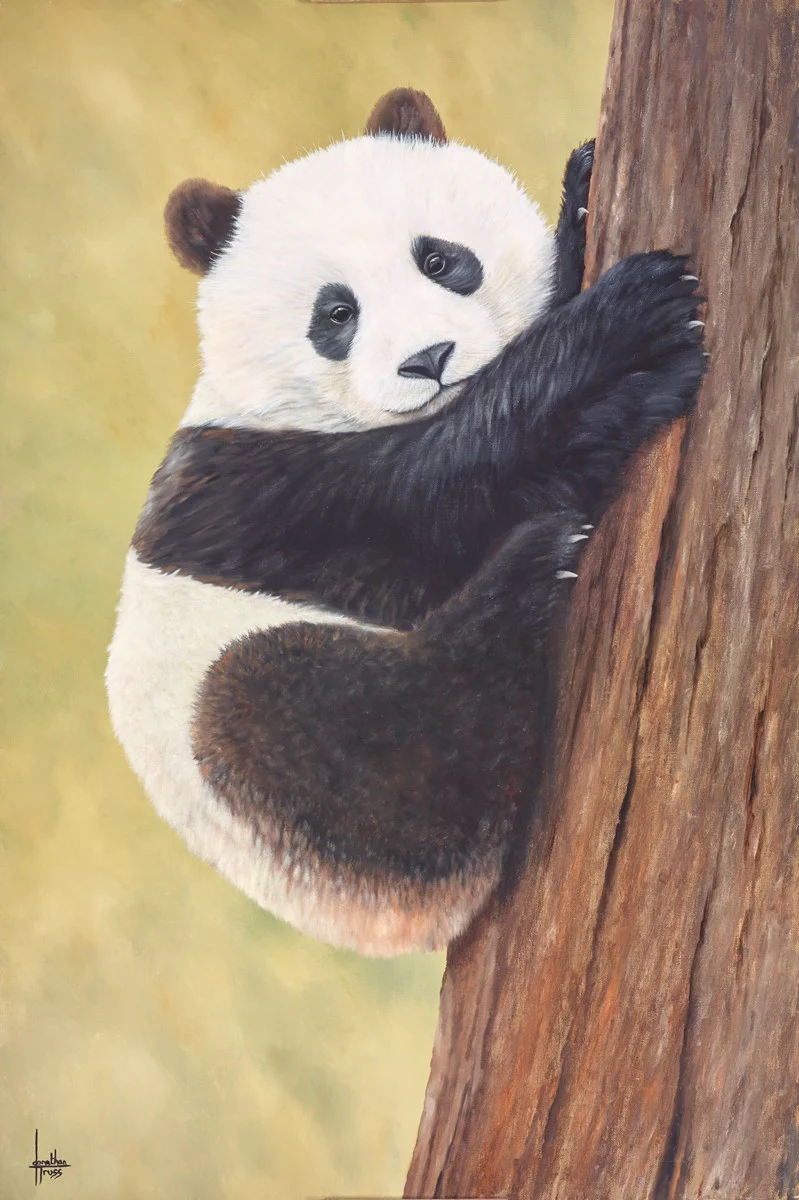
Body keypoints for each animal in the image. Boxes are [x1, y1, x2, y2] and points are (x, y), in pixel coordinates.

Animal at [106, 88, 706, 956]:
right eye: (336, 313)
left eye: (440, 260)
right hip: (278, 784)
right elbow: (429, 501)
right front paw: (632, 331)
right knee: (332, 722)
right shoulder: (243, 492)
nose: (429, 359)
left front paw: (583, 197)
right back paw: (525, 576)